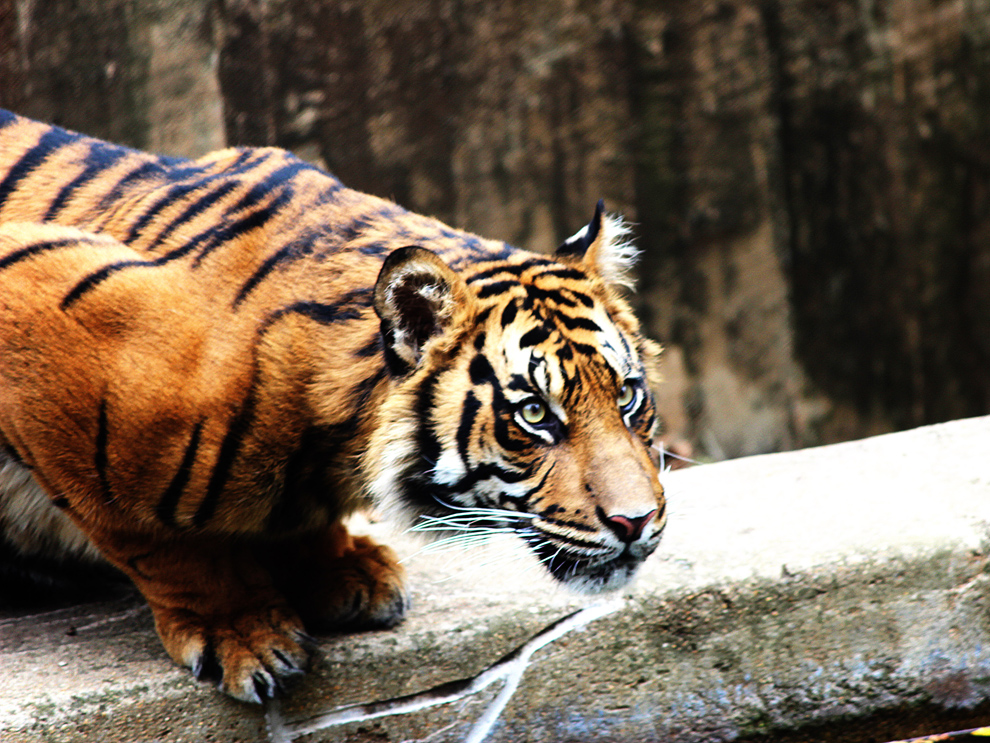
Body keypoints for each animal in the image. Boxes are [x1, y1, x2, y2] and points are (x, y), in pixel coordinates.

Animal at [0, 109, 667, 703]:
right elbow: (154, 540)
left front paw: (342, 571)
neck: (329, 444)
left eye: (627, 395)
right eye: (534, 415)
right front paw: (242, 630)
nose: (637, 523)